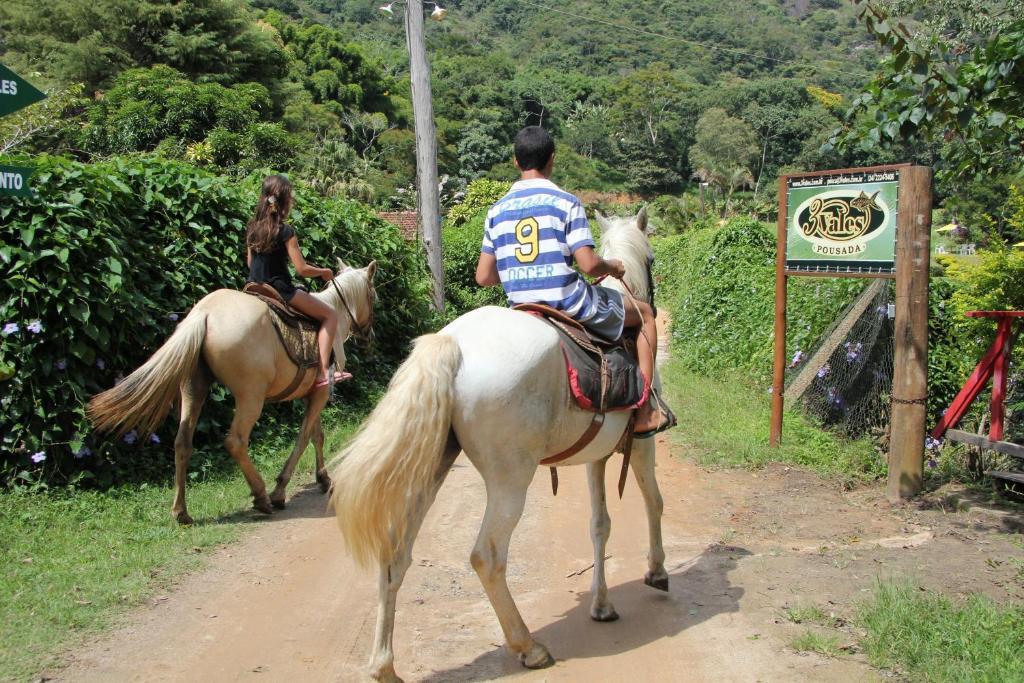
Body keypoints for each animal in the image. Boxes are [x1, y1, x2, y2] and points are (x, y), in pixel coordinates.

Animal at [89, 260, 376, 524]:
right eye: (373, 296)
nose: (368, 335)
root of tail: (204, 313)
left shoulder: (314, 393)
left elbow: (317, 435)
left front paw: (323, 479)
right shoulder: (321, 391)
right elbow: (305, 437)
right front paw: (281, 489)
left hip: (194, 387)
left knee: (183, 442)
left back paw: (181, 511)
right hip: (251, 396)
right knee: (235, 441)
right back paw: (261, 496)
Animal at [329, 210, 671, 679]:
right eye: (652, 259)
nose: (650, 302)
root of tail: (453, 342)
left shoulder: (596, 456)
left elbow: (599, 525)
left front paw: (602, 605)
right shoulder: (641, 445)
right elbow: (653, 502)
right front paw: (657, 572)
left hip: (433, 468)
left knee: (395, 555)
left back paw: (384, 666)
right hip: (510, 479)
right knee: (486, 556)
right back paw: (528, 646)